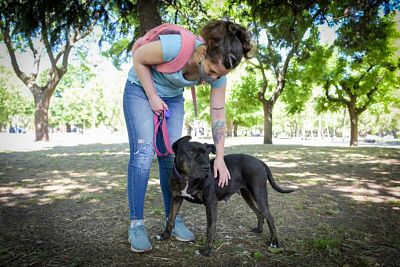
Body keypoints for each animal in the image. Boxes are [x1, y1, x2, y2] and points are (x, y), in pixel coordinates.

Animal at [159, 137, 294, 256]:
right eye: (191, 153)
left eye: (206, 154)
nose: (207, 168)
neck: (187, 179)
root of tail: (259, 161)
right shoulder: (176, 199)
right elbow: (171, 218)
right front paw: (165, 235)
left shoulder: (211, 203)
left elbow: (210, 228)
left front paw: (207, 250)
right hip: (248, 196)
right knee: (259, 213)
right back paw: (259, 230)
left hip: (259, 194)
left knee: (270, 217)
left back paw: (274, 242)